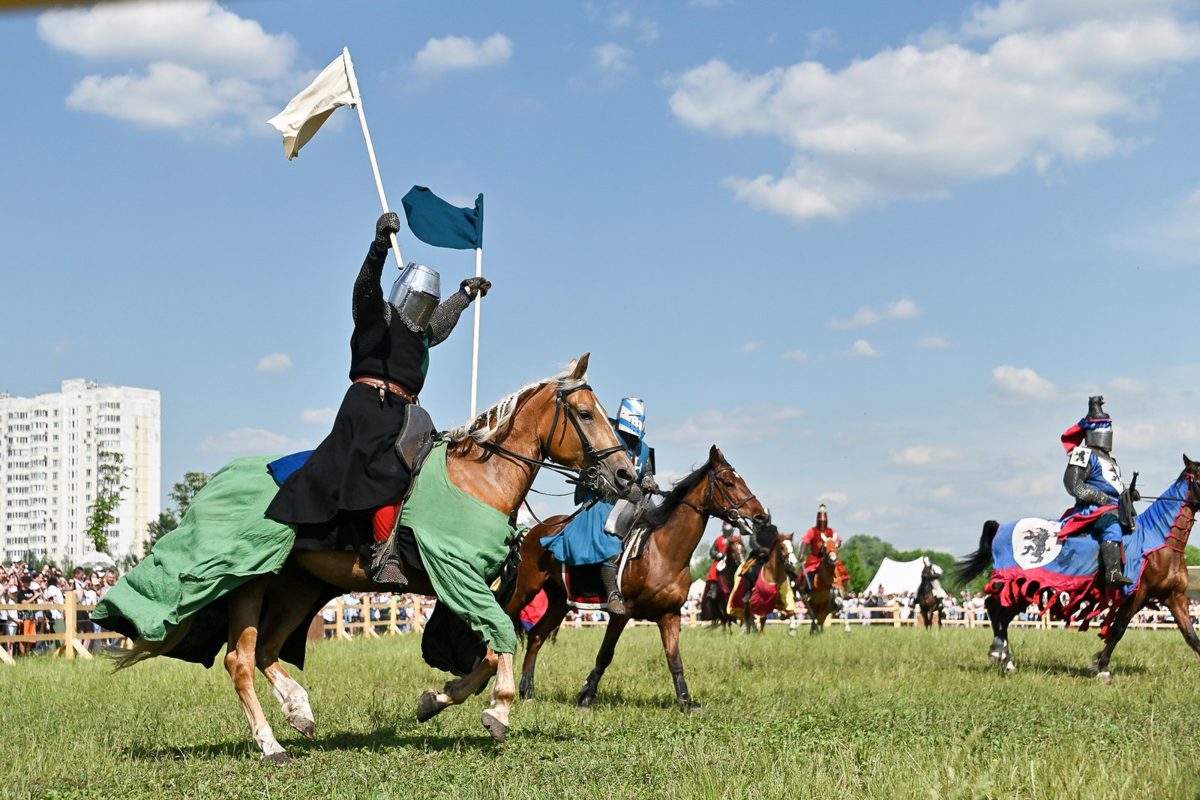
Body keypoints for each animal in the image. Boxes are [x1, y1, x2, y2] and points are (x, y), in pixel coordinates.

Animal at [112, 357, 638, 762]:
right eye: (586, 414)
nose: (627, 475)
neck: (478, 483)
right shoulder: (458, 578)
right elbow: (499, 639)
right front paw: (498, 710)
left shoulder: (470, 588)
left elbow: (490, 649)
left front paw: (437, 700)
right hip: (248, 579)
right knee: (239, 659)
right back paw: (270, 745)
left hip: (298, 586)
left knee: (264, 652)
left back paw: (299, 711)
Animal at [504, 443, 768, 714]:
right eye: (728, 483)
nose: (761, 517)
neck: (663, 552)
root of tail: (535, 531)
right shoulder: (623, 613)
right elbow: (605, 654)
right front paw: (586, 696)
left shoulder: (670, 615)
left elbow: (674, 659)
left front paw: (686, 701)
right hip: (525, 589)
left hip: (559, 601)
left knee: (537, 635)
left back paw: (527, 690)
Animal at [955, 453, 1200, 686]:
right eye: (1199, 475)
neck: (1159, 541)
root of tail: (1000, 528)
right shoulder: (1137, 595)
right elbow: (1119, 629)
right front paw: (1102, 668)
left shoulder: (1174, 596)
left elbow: (1190, 635)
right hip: (1024, 585)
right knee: (994, 607)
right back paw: (999, 654)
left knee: (1000, 612)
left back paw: (1006, 660)